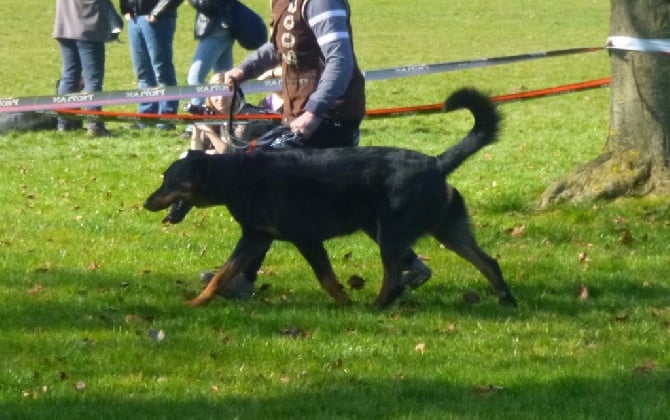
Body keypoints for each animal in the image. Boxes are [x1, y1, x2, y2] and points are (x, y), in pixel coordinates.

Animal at [144, 88, 516, 308]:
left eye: (168, 180)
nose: (147, 202)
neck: (235, 176)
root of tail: (437, 163)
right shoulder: (256, 238)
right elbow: (224, 274)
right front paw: (196, 303)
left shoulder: (306, 239)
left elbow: (327, 278)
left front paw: (345, 305)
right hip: (446, 229)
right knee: (488, 261)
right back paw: (505, 300)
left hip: (389, 232)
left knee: (395, 277)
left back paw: (375, 308)